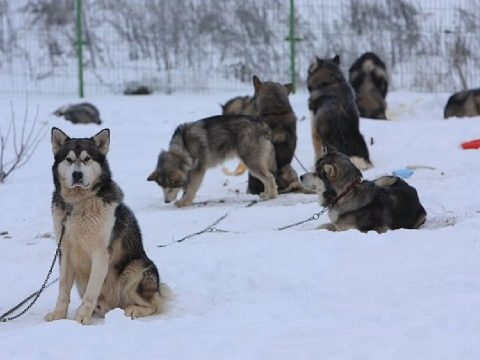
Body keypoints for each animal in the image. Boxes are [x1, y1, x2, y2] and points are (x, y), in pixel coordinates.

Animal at [47, 128, 167, 324]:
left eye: (87, 159)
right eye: (69, 159)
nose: (77, 174)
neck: (80, 203)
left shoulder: (101, 252)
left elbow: (92, 289)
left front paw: (82, 316)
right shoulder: (65, 251)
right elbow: (63, 288)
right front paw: (58, 314)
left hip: (134, 269)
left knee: (154, 305)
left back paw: (134, 310)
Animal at [148, 114, 280, 207]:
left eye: (170, 187)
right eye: (162, 187)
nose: (166, 201)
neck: (184, 148)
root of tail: (264, 125)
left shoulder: (198, 171)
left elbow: (190, 188)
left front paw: (184, 202)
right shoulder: (190, 173)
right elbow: (186, 188)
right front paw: (183, 200)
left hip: (252, 164)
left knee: (269, 177)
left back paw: (272, 196)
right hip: (253, 165)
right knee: (267, 178)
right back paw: (265, 194)